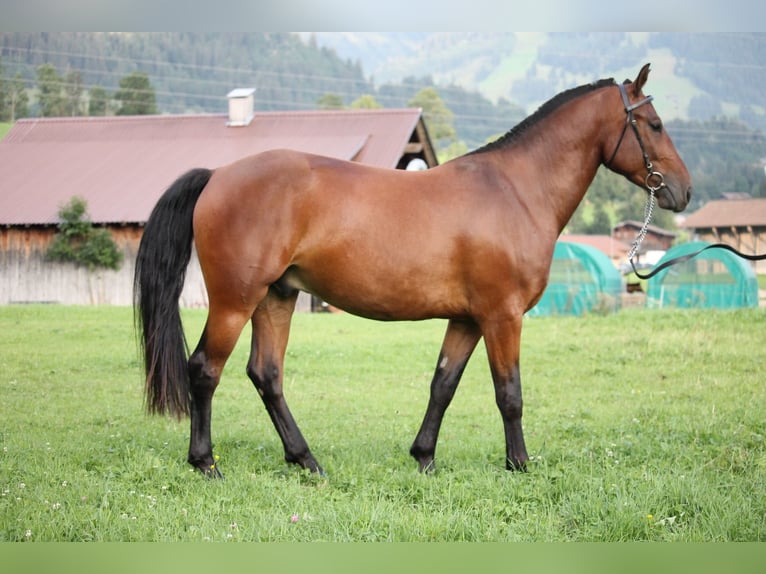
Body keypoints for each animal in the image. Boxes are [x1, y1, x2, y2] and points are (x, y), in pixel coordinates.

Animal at [134, 63, 696, 480]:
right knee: (205, 370)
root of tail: (218, 175)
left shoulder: (468, 319)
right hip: (236, 300)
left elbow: (442, 384)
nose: (683, 191)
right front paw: (518, 464)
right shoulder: (503, 316)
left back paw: (306, 460)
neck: (514, 190)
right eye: (654, 124)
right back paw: (206, 463)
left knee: (266, 374)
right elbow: (509, 394)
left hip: (276, 297)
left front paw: (424, 456)